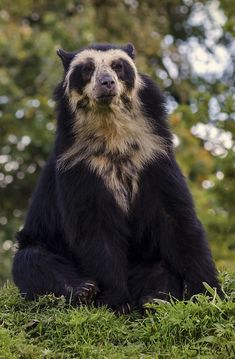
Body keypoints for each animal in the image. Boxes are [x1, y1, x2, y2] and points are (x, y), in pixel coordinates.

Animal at [12, 43, 218, 316]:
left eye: (118, 66)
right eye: (87, 69)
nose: (107, 83)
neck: (112, 131)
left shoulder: (154, 158)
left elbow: (177, 218)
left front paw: (207, 293)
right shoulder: (80, 166)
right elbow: (95, 231)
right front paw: (116, 303)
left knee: (160, 269)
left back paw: (155, 299)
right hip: (40, 243)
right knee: (31, 261)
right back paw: (83, 290)